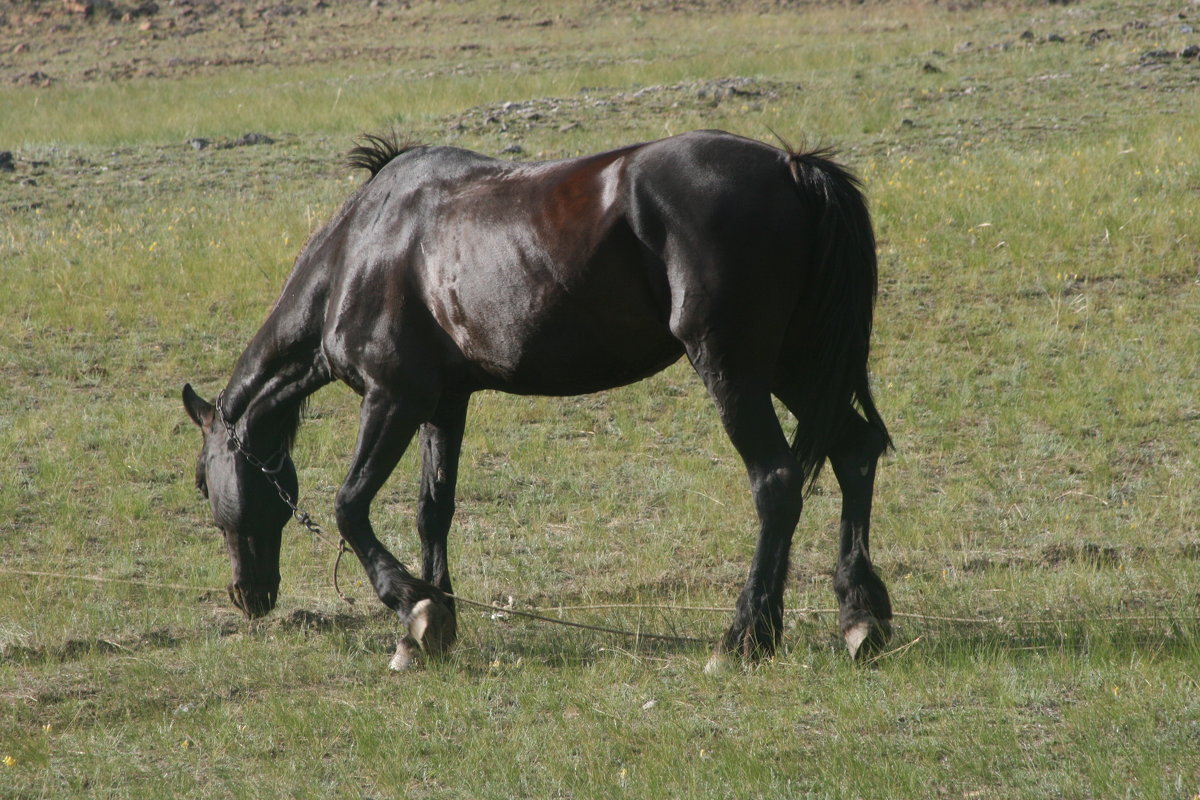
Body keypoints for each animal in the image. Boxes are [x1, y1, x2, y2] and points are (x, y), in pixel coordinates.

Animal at [180, 128, 892, 671]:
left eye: (202, 482)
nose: (247, 595)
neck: (362, 250)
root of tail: (790, 167)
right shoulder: (445, 405)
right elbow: (433, 512)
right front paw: (432, 624)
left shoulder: (393, 399)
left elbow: (350, 506)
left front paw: (413, 608)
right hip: (794, 366)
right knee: (856, 451)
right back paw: (861, 617)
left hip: (735, 371)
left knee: (777, 482)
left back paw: (745, 636)